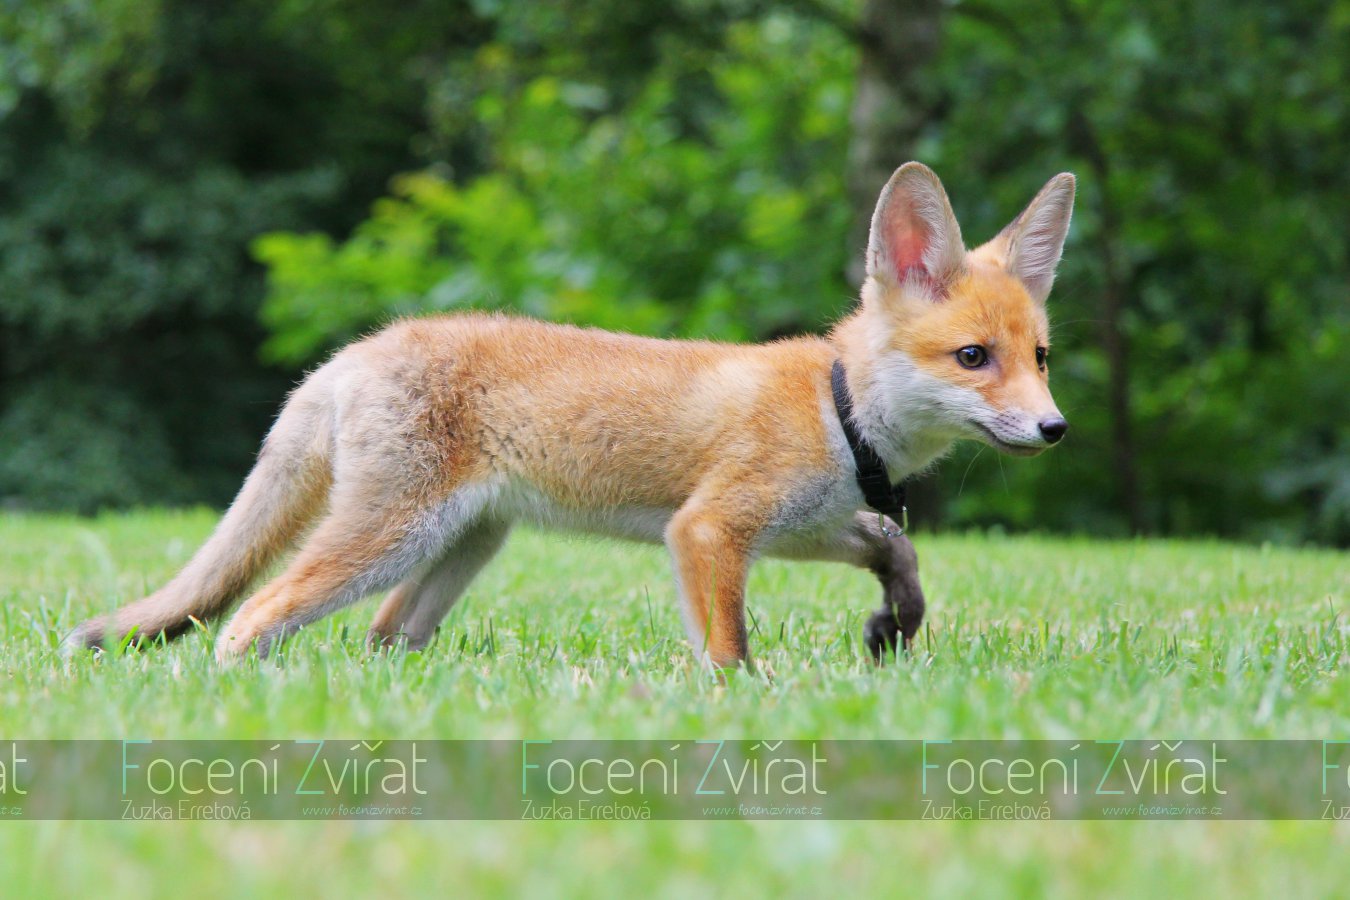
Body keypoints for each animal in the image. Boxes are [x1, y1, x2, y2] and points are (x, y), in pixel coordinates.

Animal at [65, 162, 1074, 669]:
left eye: (1040, 359)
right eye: (973, 359)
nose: (1055, 430)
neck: (840, 411)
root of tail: (352, 354)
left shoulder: (797, 523)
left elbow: (896, 550)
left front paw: (893, 628)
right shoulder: (707, 530)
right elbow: (729, 651)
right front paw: (747, 708)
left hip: (464, 542)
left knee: (384, 635)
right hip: (389, 534)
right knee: (251, 616)